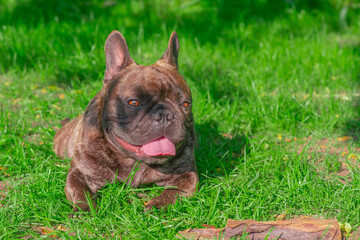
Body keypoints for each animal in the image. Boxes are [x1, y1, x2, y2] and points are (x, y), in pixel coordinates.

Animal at [53, 30, 198, 212]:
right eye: (133, 102)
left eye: (185, 104)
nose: (164, 114)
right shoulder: (79, 173)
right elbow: (80, 191)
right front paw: (85, 209)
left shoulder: (188, 175)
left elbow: (175, 192)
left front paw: (157, 205)